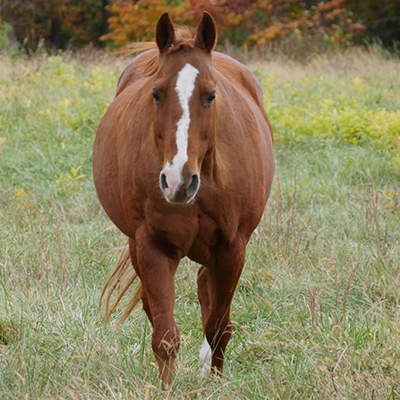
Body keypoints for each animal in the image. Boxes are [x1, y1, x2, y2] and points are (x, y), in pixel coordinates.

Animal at [93, 12, 276, 388]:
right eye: (156, 93)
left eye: (210, 95)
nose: (178, 180)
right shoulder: (152, 246)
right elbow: (164, 335)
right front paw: (167, 388)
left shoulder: (232, 248)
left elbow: (219, 327)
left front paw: (215, 382)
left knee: (208, 293)